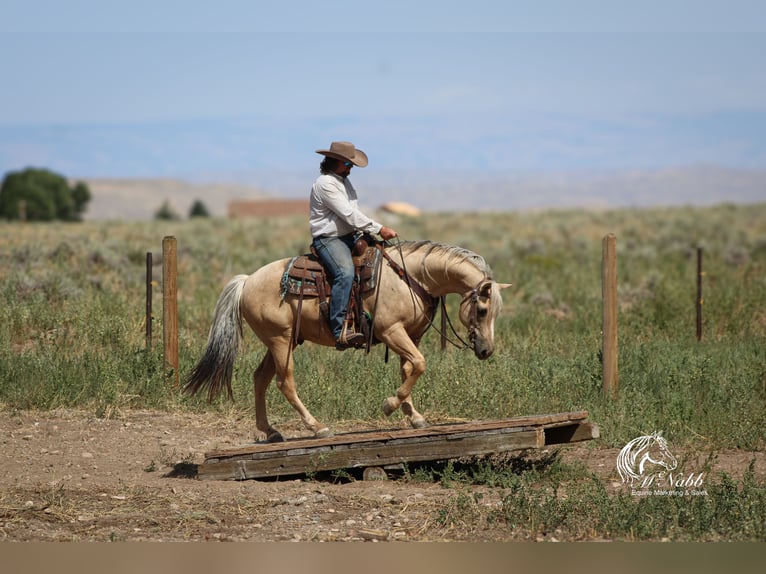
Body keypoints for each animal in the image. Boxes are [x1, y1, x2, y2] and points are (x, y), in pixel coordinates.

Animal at [184, 240, 510, 443]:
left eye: (496, 312)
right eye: (482, 310)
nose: (486, 350)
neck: (412, 276)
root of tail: (247, 280)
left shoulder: (411, 335)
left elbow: (410, 369)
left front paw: (413, 416)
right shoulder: (391, 331)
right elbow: (419, 364)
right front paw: (390, 405)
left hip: (280, 341)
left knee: (259, 379)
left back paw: (270, 431)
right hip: (280, 340)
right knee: (284, 382)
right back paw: (317, 427)